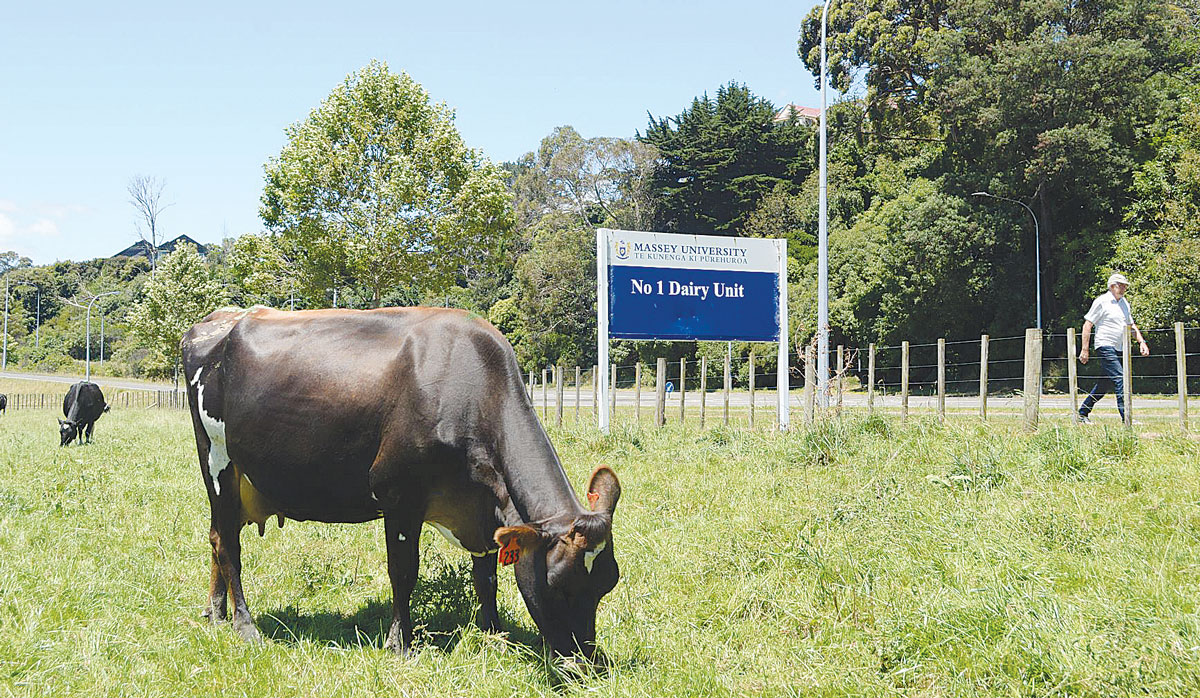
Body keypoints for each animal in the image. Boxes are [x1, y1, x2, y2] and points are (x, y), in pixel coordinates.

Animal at [184, 307, 628, 662]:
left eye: (609, 583)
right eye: (557, 585)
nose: (587, 664)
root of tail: (220, 318)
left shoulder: (482, 510)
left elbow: (486, 578)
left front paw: (494, 633)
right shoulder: (399, 496)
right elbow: (403, 571)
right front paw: (400, 643)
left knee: (215, 535)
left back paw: (215, 612)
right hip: (218, 461)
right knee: (228, 544)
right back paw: (244, 625)